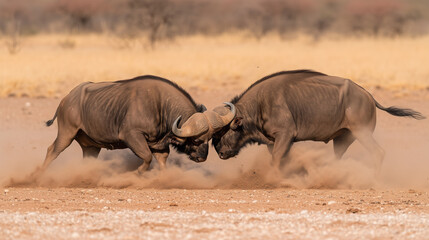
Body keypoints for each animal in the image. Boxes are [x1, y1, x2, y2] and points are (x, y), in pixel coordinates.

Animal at [34, 74, 234, 175]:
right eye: (195, 140)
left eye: (210, 139)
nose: (202, 158)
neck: (159, 104)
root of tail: (67, 99)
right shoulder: (132, 136)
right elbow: (146, 157)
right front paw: (135, 173)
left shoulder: (159, 144)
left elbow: (161, 161)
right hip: (66, 134)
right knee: (52, 151)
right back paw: (37, 175)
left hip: (91, 146)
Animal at [211, 69, 424, 174]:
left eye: (222, 132)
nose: (220, 153)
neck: (260, 104)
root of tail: (368, 96)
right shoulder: (274, 141)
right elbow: (281, 159)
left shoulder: (285, 135)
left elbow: (277, 159)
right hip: (343, 139)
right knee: (338, 157)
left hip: (361, 133)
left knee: (378, 152)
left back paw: (374, 178)